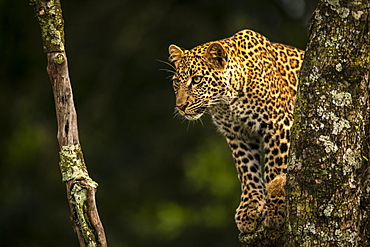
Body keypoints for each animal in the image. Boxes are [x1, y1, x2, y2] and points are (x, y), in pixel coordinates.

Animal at [168, 29, 304, 233]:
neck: (227, 102)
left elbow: (275, 168)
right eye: (176, 82)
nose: (180, 106)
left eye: (197, 80)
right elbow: (246, 169)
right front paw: (249, 208)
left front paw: (276, 207)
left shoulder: (279, 123)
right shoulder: (237, 134)